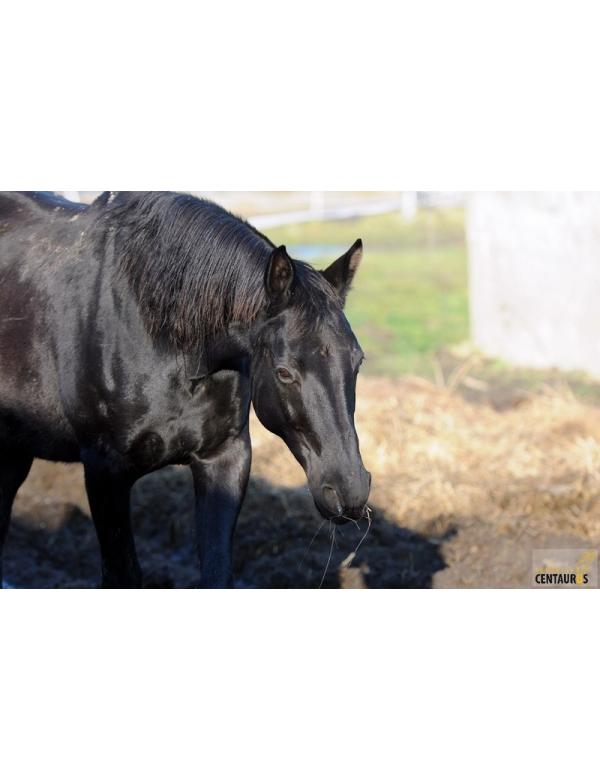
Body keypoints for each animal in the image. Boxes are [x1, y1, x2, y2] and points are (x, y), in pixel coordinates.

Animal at [0, 192, 370, 588]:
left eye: (358, 360)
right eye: (284, 373)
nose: (350, 490)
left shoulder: (226, 458)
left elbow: (217, 571)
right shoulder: (103, 471)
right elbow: (122, 574)